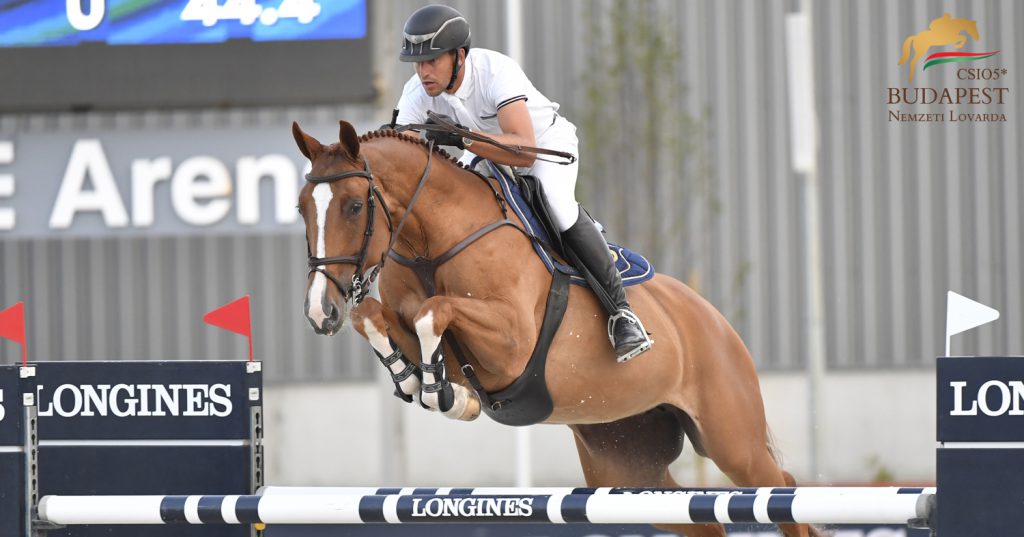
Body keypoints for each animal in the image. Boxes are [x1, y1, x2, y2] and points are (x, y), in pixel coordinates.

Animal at [294, 121, 815, 537]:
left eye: (354, 206)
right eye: (302, 208)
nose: (320, 313)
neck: (430, 242)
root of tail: (716, 320)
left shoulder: (510, 345)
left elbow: (434, 311)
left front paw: (442, 392)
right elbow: (374, 317)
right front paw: (423, 384)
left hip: (735, 443)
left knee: (782, 493)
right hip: (626, 467)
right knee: (702, 520)